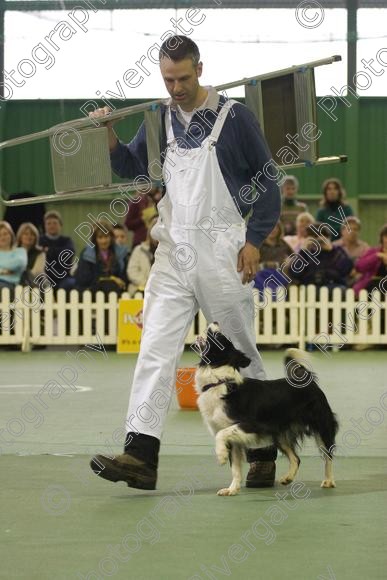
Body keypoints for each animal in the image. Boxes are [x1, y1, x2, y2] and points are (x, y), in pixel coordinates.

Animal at [196, 324, 338, 496]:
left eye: (218, 337)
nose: (215, 322)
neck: (218, 380)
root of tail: (306, 381)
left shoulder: (252, 424)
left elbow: (221, 435)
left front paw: (221, 456)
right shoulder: (234, 440)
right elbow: (235, 467)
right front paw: (232, 489)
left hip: (321, 425)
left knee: (328, 455)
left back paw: (329, 480)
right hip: (279, 433)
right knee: (296, 458)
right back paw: (288, 478)